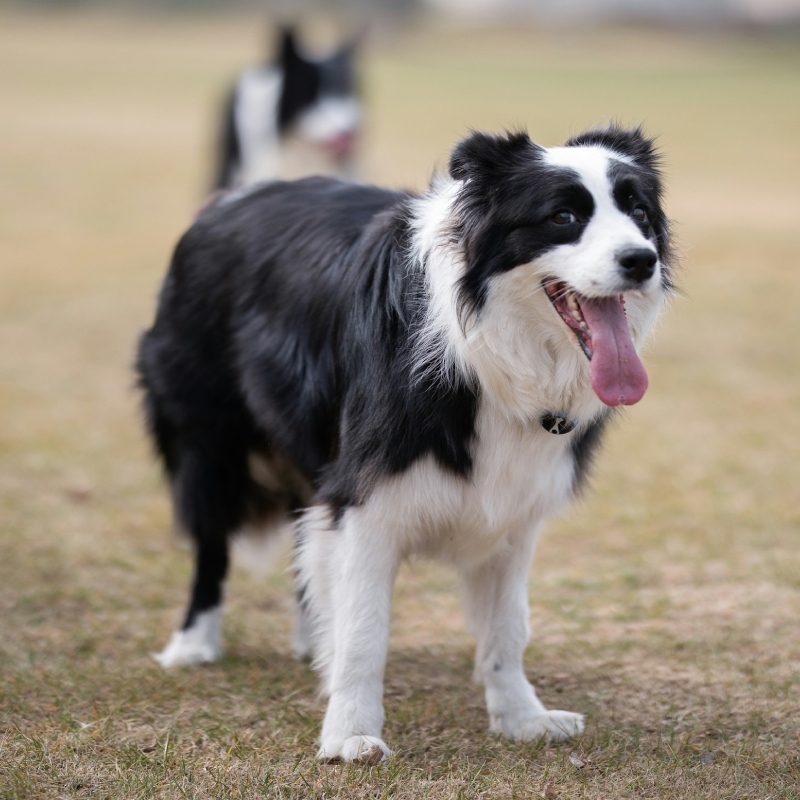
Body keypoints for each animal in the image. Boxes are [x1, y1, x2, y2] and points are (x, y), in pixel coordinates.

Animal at [139, 125, 676, 764]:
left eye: (639, 213)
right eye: (563, 216)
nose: (641, 260)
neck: (486, 348)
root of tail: (227, 201)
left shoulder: (515, 511)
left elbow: (508, 626)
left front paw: (522, 718)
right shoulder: (367, 497)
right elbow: (365, 629)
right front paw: (349, 733)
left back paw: (311, 639)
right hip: (207, 439)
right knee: (212, 545)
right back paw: (194, 644)